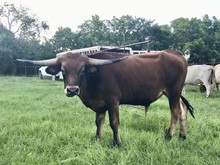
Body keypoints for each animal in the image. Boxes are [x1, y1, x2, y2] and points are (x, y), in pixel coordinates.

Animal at [18, 50, 195, 147]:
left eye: (82, 69)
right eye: (63, 70)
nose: (72, 89)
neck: (94, 78)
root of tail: (177, 54)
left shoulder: (113, 102)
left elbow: (114, 123)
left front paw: (117, 143)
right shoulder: (100, 105)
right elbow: (99, 122)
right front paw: (98, 139)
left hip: (173, 92)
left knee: (175, 112)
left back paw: (169, 136)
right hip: (176, 94)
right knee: (183, 110)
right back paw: (183, 136)